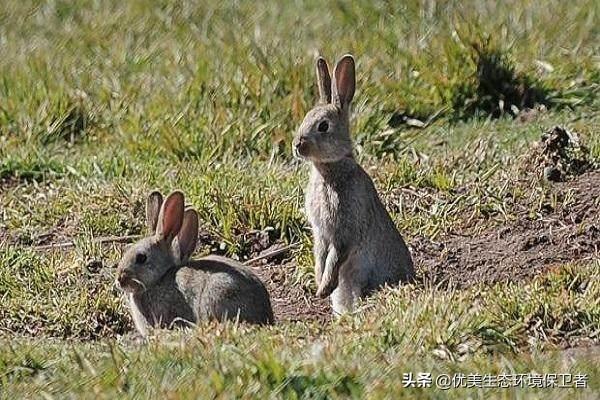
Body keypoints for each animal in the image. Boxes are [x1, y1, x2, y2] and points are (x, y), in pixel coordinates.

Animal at [292, 54, 414, 316]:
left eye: (323, 126)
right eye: (306, 117)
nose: (297, 145)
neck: (329, 169)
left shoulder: (344, 230)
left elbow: (336, 256)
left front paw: (323, 289)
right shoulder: (321, 233)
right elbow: (320, 256)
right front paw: (319, 284)